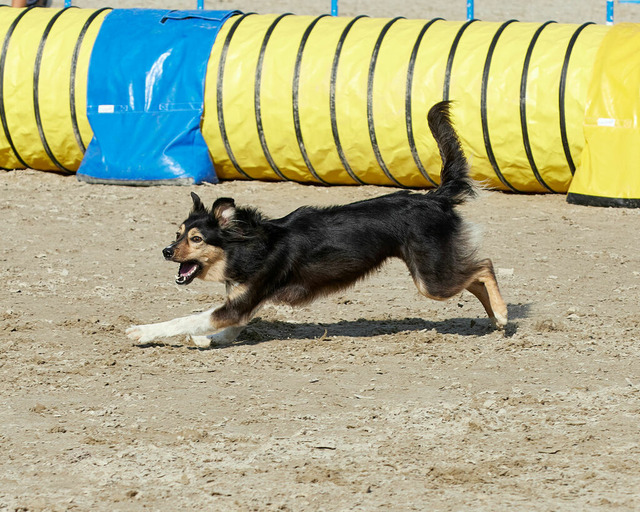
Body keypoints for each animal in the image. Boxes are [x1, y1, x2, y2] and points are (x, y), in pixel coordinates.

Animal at [126, 101, 508, 347]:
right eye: (177, 234)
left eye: (196, 239)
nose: (166, 251)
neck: (244, 246)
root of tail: (434, 197)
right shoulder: (244, 303)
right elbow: (229, 328)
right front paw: (207, 340)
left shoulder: (240, 301)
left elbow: (184, 318)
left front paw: (142, 332)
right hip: (434, 273)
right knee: (475, 276)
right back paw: (495, 320)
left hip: (430, 279)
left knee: (484, 266)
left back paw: (503, 315)